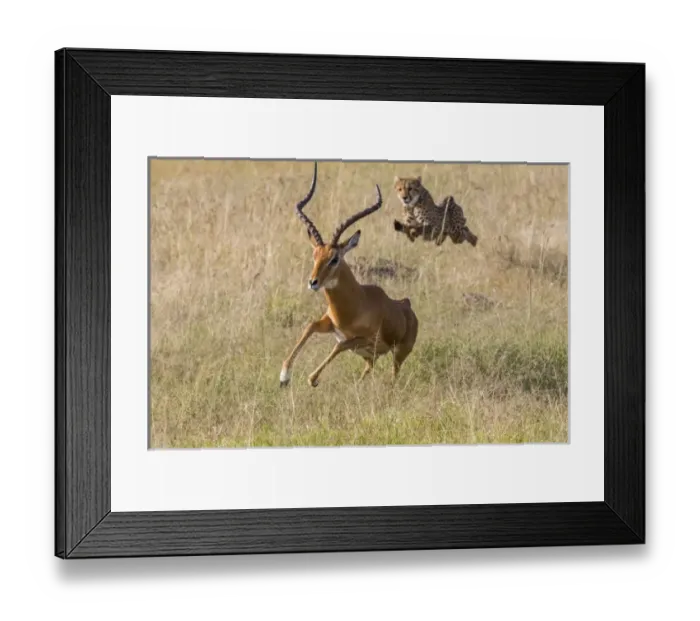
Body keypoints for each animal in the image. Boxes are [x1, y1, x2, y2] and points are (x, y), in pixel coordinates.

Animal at [279, 162, 419, 388]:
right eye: (315, 254)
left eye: (334, 258)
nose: (313, 282)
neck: (357, 304)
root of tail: (407, 305)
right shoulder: (329, 324)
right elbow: (309, 326)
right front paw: (284, 377)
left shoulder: (363, 339)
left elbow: (339, 346)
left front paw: (312, 379)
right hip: (370, 355)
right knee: (369, 367)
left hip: (398, 354)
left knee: (393, 373)